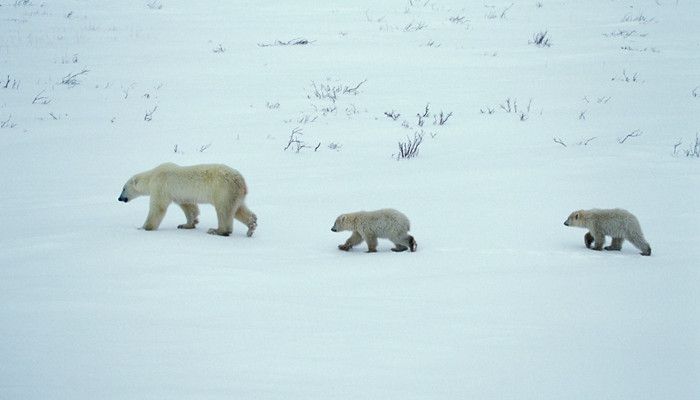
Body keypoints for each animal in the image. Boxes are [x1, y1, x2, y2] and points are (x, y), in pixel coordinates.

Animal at [119, 162, 258, 238]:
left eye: (123, 188)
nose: (119, 198)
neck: (151, 176)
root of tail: (241, 180)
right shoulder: (181, 195)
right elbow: (189, 207)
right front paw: (185, 225)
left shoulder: (160, 186)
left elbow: (158, 207)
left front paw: (143, 228)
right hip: (234, 193)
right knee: (238, 209)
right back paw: (251, 226)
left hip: (223, 189)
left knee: (224, 210)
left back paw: (216, 230)